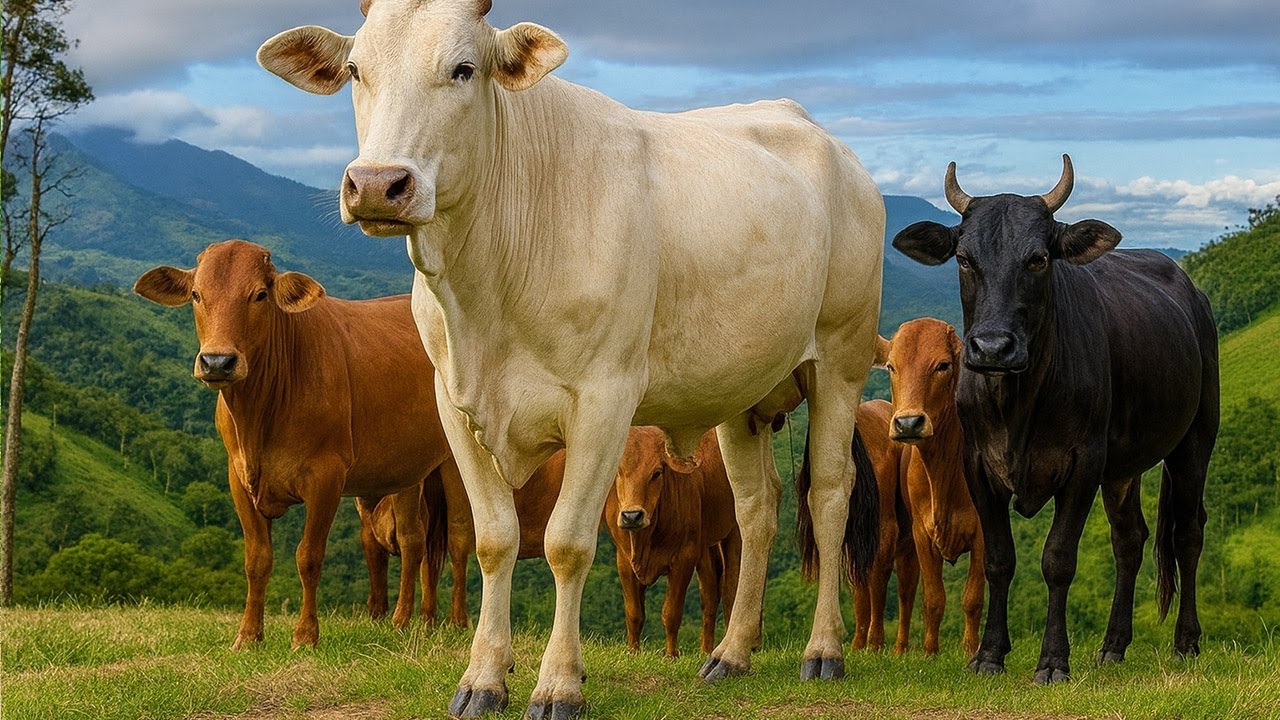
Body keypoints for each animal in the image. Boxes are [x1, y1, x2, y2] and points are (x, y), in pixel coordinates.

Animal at [133, 239, 455, 651]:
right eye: (196, 294)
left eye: (259, 295)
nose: (217, 361)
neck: (259, 415)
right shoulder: (238, 477)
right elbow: (257, 559)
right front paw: (248, 636)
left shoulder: (326, 477)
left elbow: (309, 557)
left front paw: (305, 636)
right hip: (407, 469)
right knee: (415, 539)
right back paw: (411, 621)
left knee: (445, 541)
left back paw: (423, 622)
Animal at [604, 427, 741, 658]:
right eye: (618, 472)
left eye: (657, 473)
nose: (632, 516)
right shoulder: (623, 560)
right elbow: (634, 613)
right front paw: (632, 652)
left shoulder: (684, 558)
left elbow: (671, 613)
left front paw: (671, 655)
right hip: (705, 548)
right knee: (710, 595)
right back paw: (705, 650)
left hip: (733, 532)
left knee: (730, 589)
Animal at [853, 320, 984, 657]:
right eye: (891, 366)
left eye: (943, 365)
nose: (908, 423)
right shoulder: (921, 535)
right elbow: (932, 598)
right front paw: (929, 651)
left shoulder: (983, 533)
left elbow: (973, 598)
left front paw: (971, 650)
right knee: (904, 590)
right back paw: (898, 648)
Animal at [892, 156, 1219, 684]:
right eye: (964, 259)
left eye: (1038, 259)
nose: (992, 347)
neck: (1017, 403)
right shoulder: (978, 464)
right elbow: (1000, 561)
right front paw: (989, 655)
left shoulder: (1082, 463)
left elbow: (1058, 559)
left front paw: (1052, 661)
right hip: (1123, 467)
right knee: (1129, 539)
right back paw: (1113, 645)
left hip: (1195, 439)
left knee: (1187, 533)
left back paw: (1186, 641)